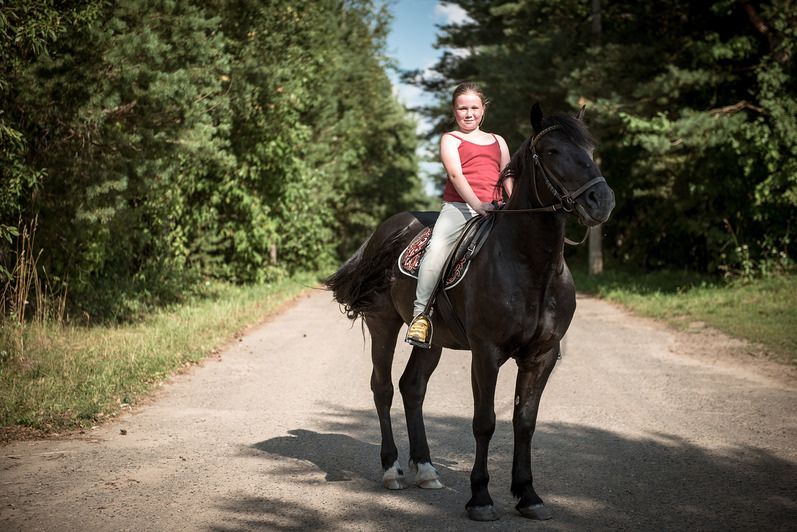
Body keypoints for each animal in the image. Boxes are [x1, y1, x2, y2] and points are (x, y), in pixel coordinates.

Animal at [325, 103, 615, 521]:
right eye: (553, 152)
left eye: (589, 150)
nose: (601, 201)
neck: (529, 266)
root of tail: (391, 228)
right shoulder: (486, 353)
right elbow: (485, 423)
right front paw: (480, 497)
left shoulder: (542, 356)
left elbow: (525, 422)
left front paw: (528, 495)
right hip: (383, 323)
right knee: (382, 387)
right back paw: (392, 469)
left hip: (431, 342)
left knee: (412, 387)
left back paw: (426, 469)